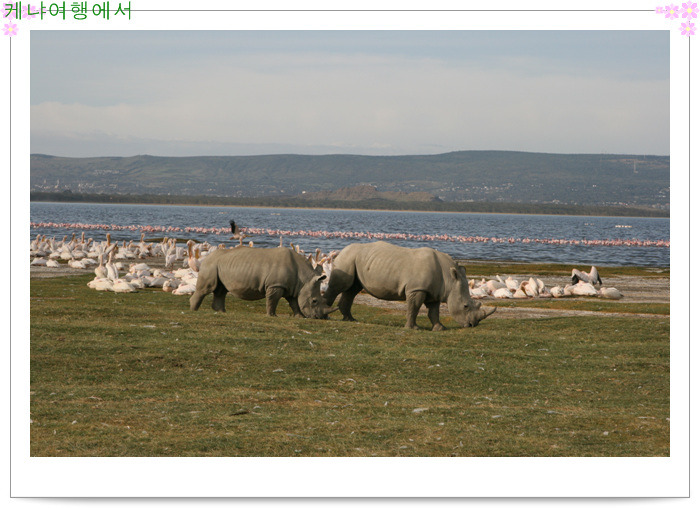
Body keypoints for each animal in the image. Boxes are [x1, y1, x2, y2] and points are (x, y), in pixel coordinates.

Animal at [189, 246, 336, 318]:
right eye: (314, 301)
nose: (321, 317)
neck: (304, 279)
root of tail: (206, 257)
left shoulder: (293, 287)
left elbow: (294, 302)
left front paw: (299, 316)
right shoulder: (276, 285)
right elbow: (272, 300)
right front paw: (272, 315)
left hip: (221, 265)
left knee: (221, 290)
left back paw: (221, 312)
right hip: (211, 265)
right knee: (207, 289)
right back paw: (193, 310)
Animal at [324, 241, 494, 330]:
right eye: (465, 306)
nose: (472, 325)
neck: (449, 278)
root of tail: (342, 250)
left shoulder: (434, 292)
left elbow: (434, 311)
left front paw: (440, 328)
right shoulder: (416, 288)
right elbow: (414, 307)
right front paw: (413, 328)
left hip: (356, 260)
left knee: (352, 289)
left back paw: (350, 319)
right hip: (347, 258)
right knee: (339, 286)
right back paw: (325, 316)